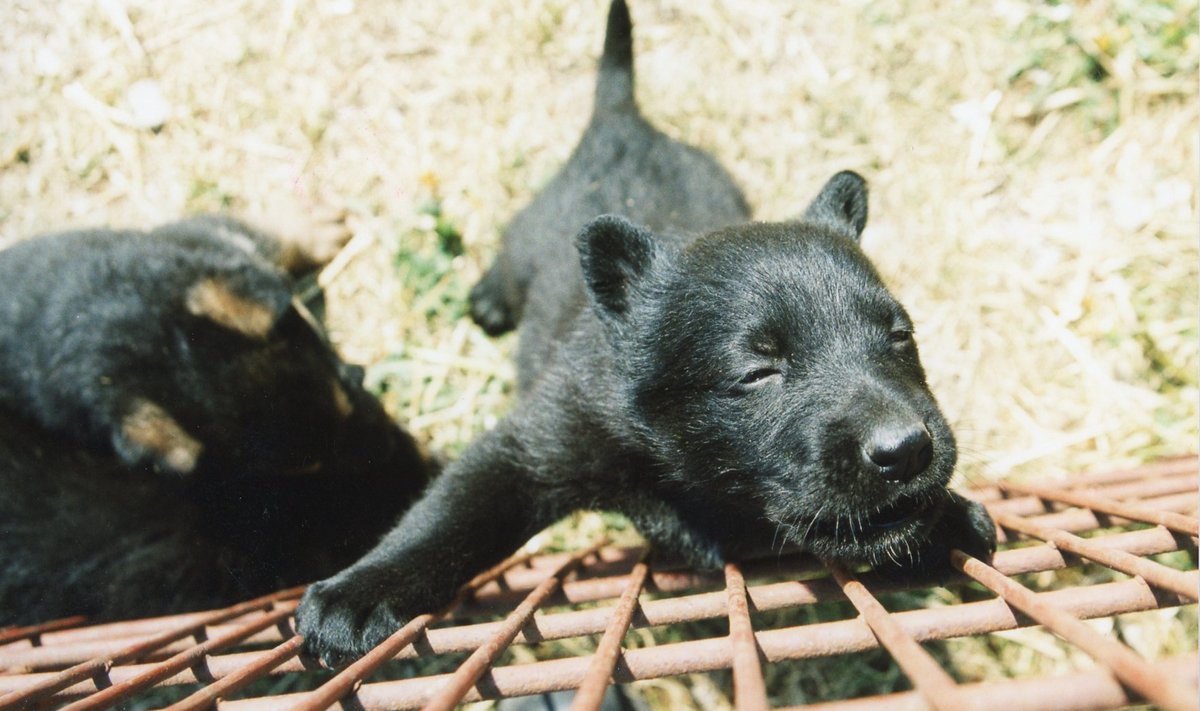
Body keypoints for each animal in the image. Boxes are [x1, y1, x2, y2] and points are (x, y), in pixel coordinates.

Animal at [0, 213, 432, 624]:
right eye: (308, 465)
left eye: (343, 385)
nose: (392, 448)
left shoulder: (206, 235)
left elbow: (269, 232)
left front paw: (317, 229)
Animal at [292, 0, 993, 662]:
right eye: (758, 371)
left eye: (900, 335)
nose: (907, 449)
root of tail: (621, 118)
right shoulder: (543, 437)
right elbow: (452, 514)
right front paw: (359, 592)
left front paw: (951, 519)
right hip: (526, 241)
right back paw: (487, 301)